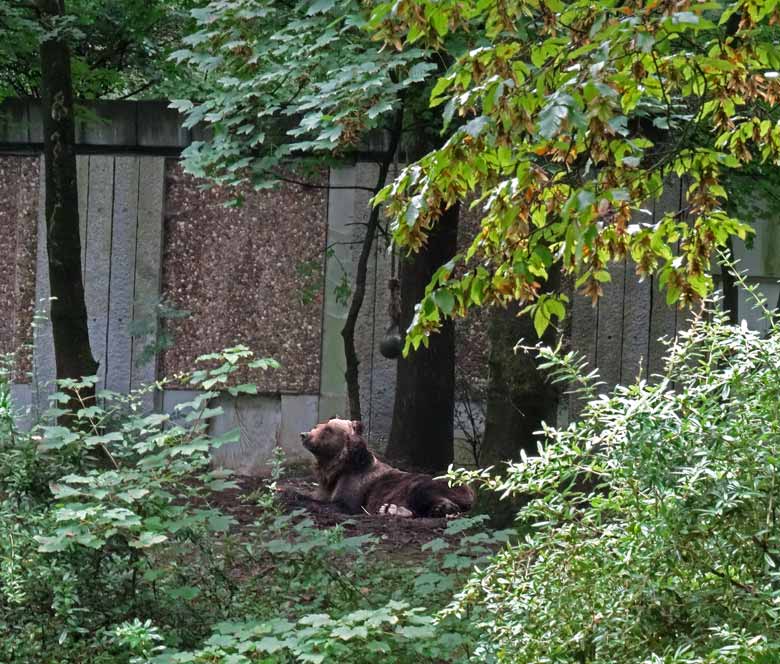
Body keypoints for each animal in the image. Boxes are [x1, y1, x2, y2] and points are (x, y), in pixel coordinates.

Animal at [298, 416, 472, 520]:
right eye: (317, 425)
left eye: (328, 429)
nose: (304, 435)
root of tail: (470, 489)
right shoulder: (325, 486)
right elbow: (317, 496)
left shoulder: (355, 484)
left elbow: (343, 503)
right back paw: (390, 509)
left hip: (436, 483)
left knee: (424, 491)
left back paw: (439, 508)